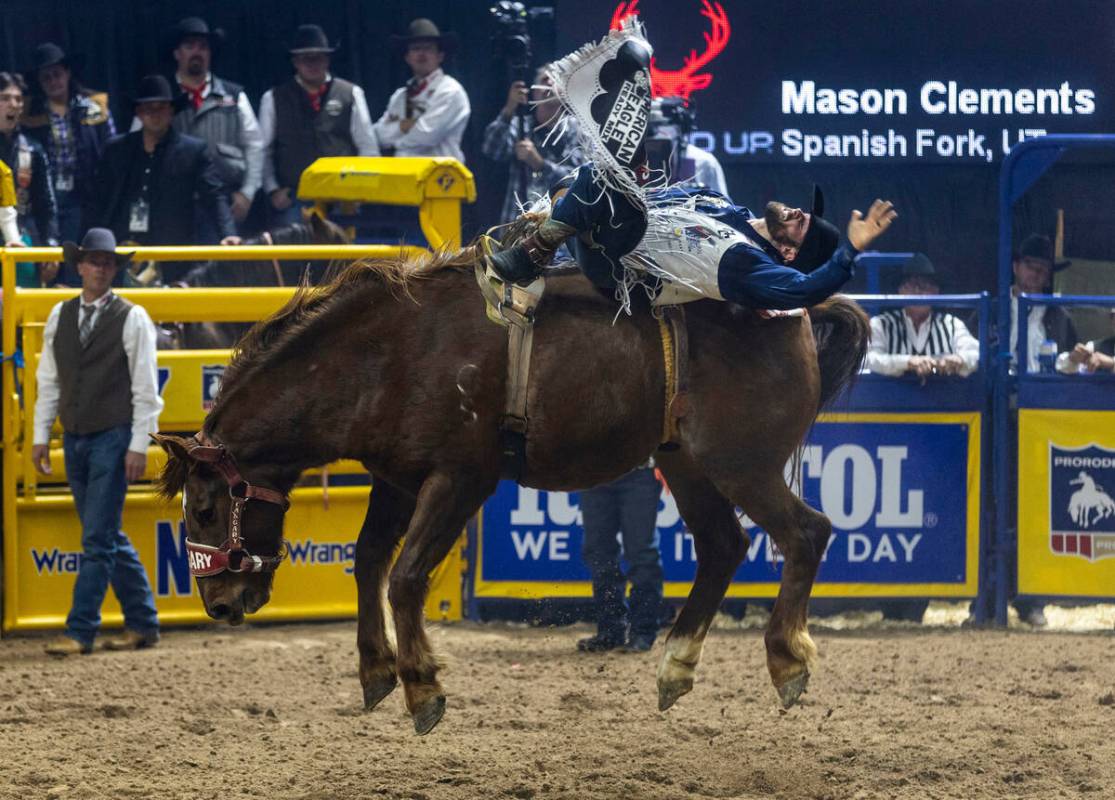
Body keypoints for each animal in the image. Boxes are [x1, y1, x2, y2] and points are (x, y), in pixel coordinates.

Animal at [154, 245, 869, 736]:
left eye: (207, 509)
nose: (219, 604)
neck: (388, 355)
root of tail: (797, 312)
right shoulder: (396, 479)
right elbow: (369, 560)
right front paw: (376, 671)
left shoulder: (461, 478)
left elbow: (406, 577)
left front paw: (422, 688)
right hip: (689, 464)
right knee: (723, 546)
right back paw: (676, 667)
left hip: (740, 462)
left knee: (806, 533)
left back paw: (788, 662)